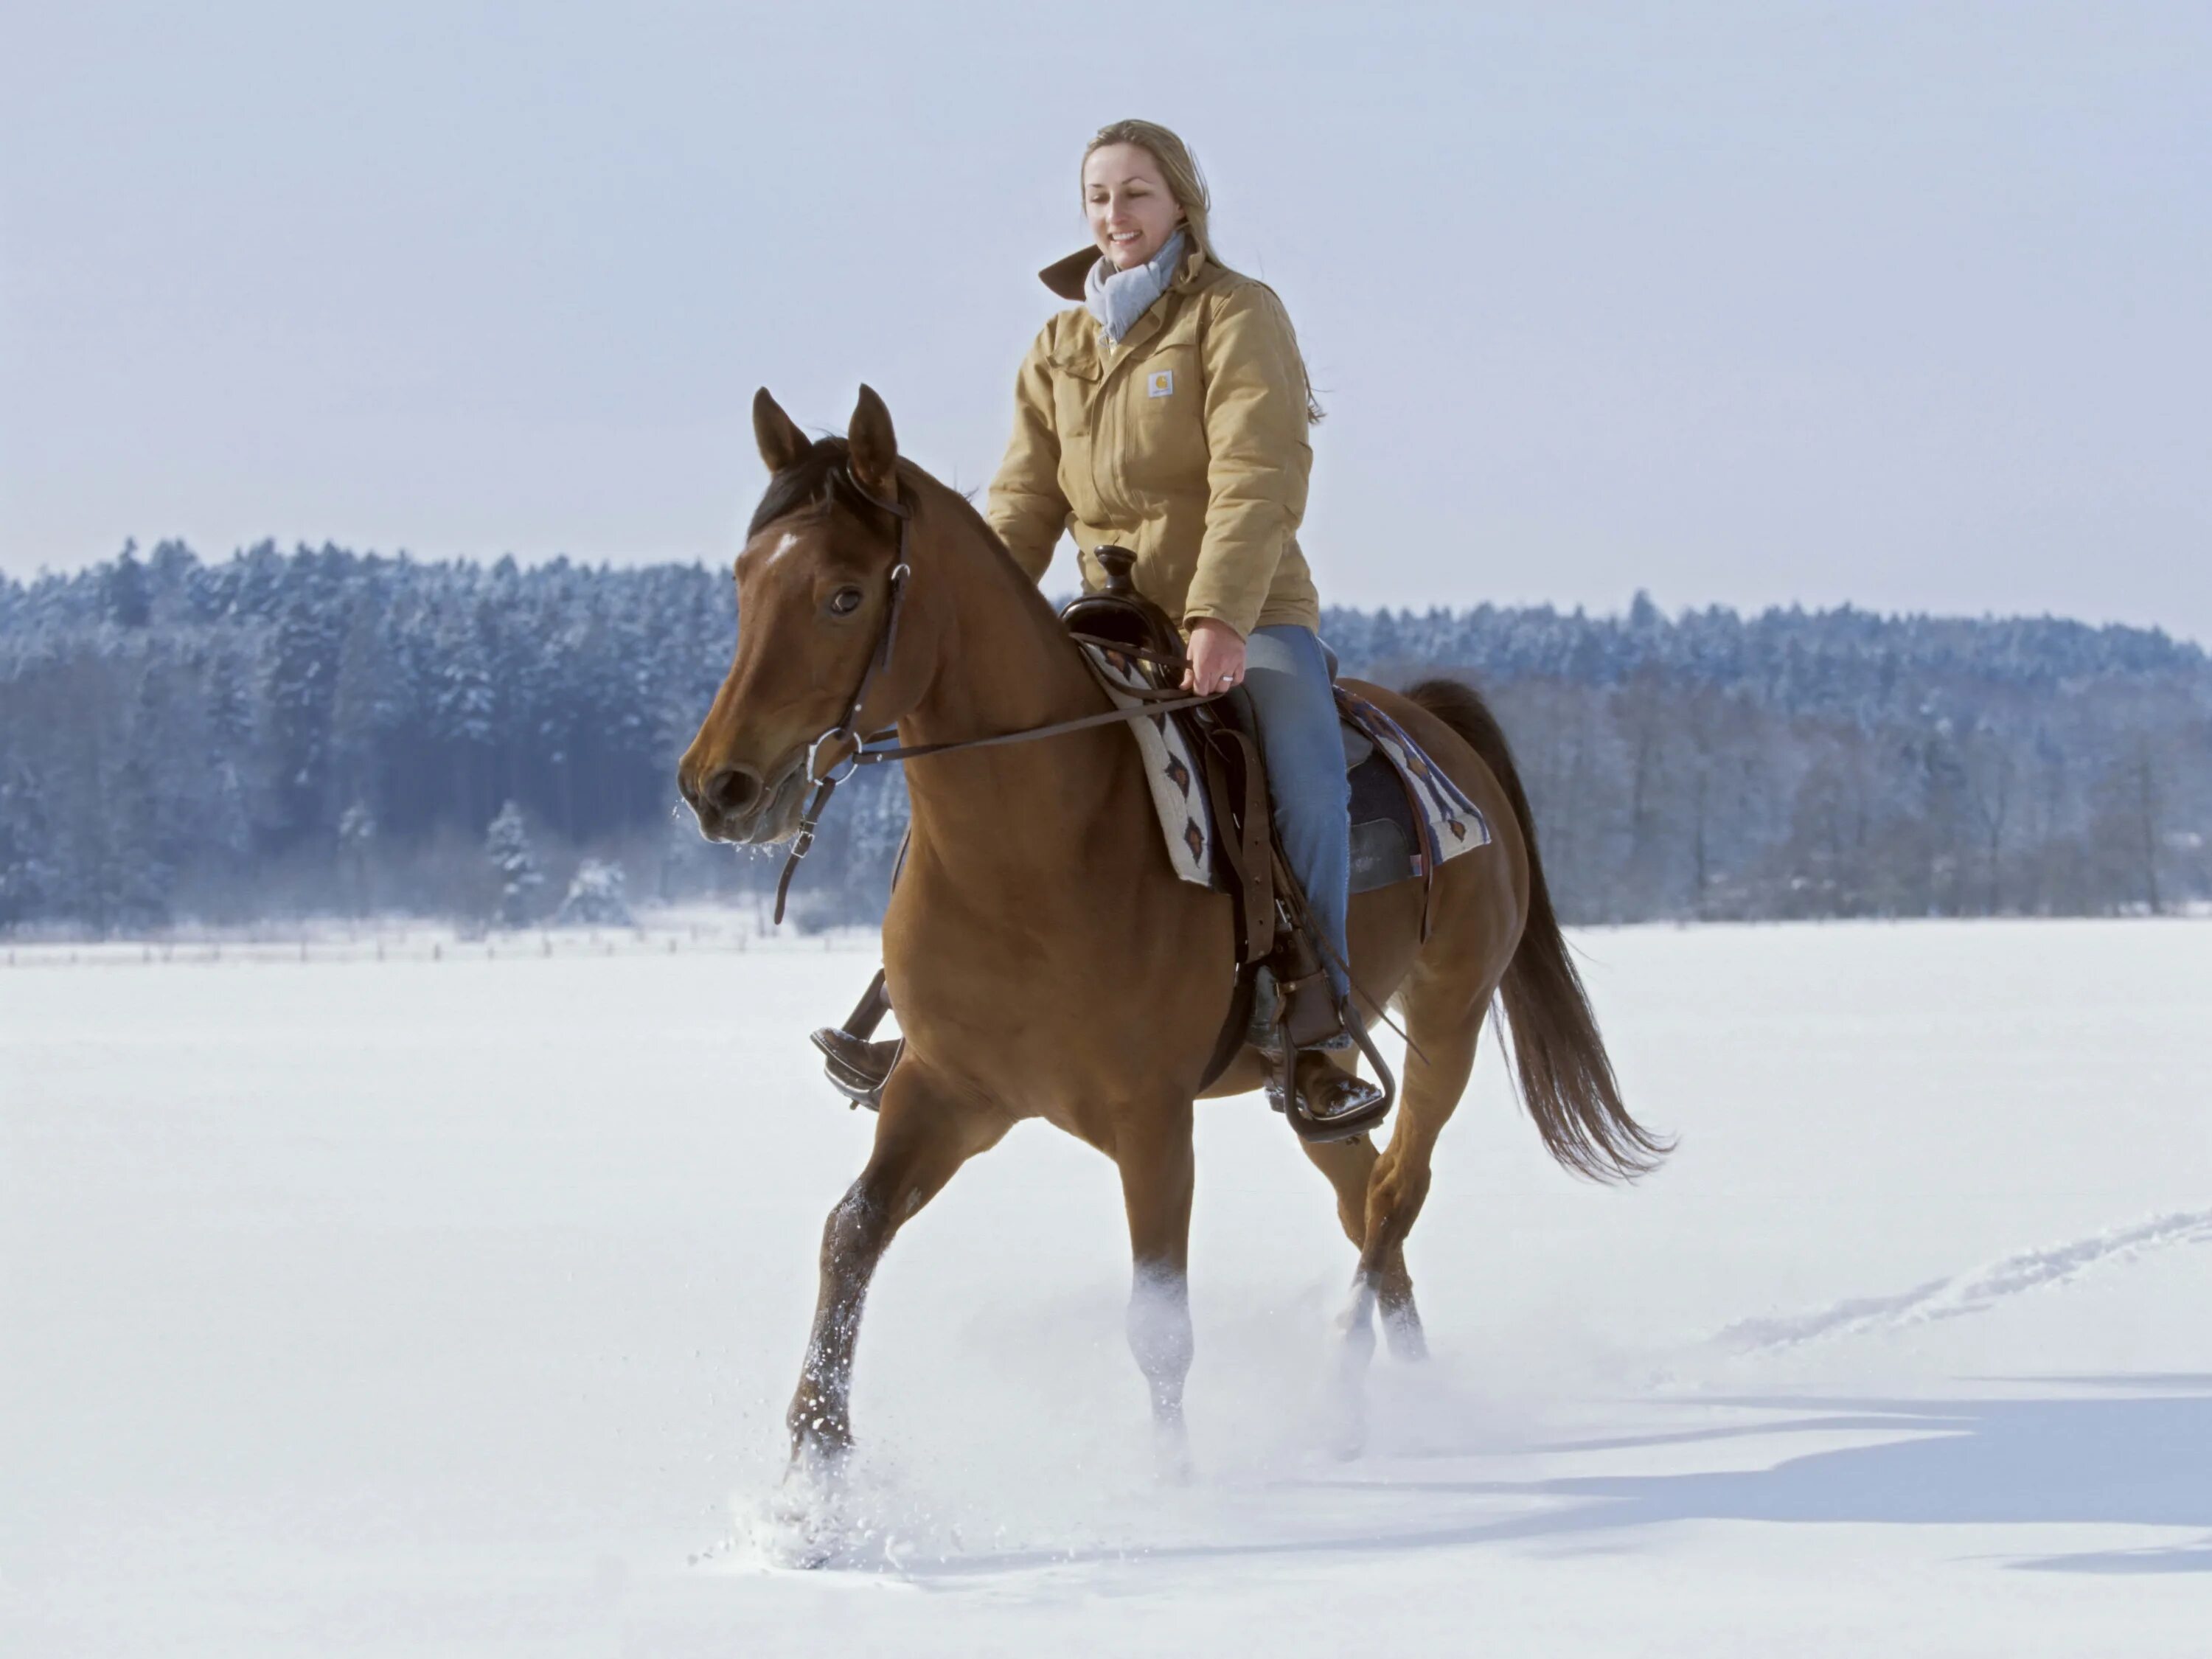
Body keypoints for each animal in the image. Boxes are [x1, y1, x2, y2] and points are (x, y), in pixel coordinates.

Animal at [681, 387, 1663, 1469]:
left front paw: (1171, 1482)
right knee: (1364, 1197)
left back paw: (1344, 1383)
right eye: (744, 581)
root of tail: (1442, 732)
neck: (1031, 854)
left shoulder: (1152, 1118)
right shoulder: (947, 1090)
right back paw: (1403, 1405)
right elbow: (850, 1233)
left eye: (846, 595)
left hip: (1448, 1019)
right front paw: (814, 1465)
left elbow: (1158, 1322)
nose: (717, 787)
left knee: (1396, 1196)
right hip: (1312, 1081)